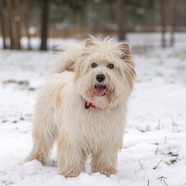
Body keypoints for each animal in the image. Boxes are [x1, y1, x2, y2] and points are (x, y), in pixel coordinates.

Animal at [25, 36, 135, 177]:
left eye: (111, 66)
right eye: (93, 64)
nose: (100, 76)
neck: (96, 106)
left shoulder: (108, 138)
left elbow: (105, 158)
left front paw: (105, 173)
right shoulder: (72, 136)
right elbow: (72, 156)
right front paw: (71, 174)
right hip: (45, 125)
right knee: (40, 144)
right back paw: (34, 160)